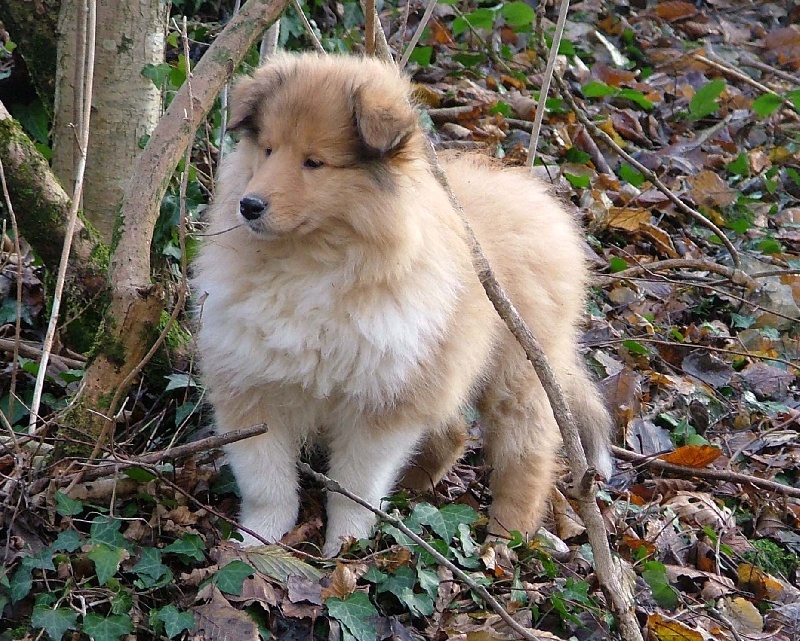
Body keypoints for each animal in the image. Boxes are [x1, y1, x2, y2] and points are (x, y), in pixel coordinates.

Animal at [195, 51, 612, 556]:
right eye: (268, 150)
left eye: (315, 162)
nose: (249, 205)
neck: (310, 265)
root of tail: (542, 200)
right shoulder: (251, 385)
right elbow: (266, 480)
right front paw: (257, 542)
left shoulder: (382, 403)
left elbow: (354, 486)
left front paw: (344, 547)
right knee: (453, 431)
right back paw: (414, 487)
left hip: (518, 372)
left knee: (528, 451)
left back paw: (505, 533)